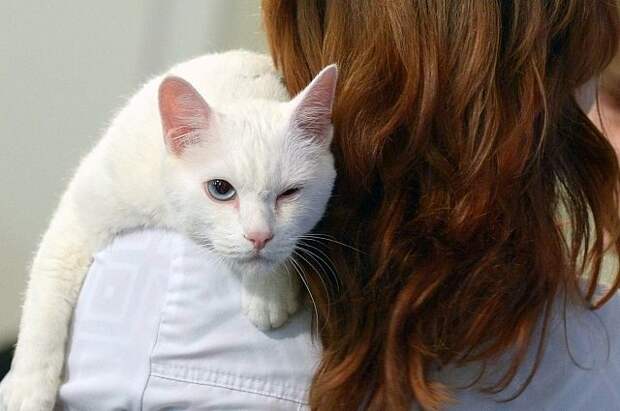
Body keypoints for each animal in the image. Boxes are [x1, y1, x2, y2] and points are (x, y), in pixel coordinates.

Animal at [0, 50, 338, 411]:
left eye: (290, 193)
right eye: (220, 189)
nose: (259, 236)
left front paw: (269, 291)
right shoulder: (79, 216)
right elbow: (46, 299)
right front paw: (27, 388)